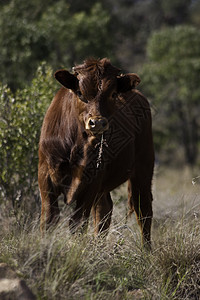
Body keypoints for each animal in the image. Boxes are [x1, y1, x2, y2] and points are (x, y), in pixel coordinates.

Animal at [39, 57, 155, 247]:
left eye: (113, 94)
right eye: (80, 93)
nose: (97, 123)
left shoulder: (91, 182)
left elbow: (78, 223)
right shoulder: (46, 175)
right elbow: (49, 219)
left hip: (143, 168)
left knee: (143, 211)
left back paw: (146, 250)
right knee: (104, 211)